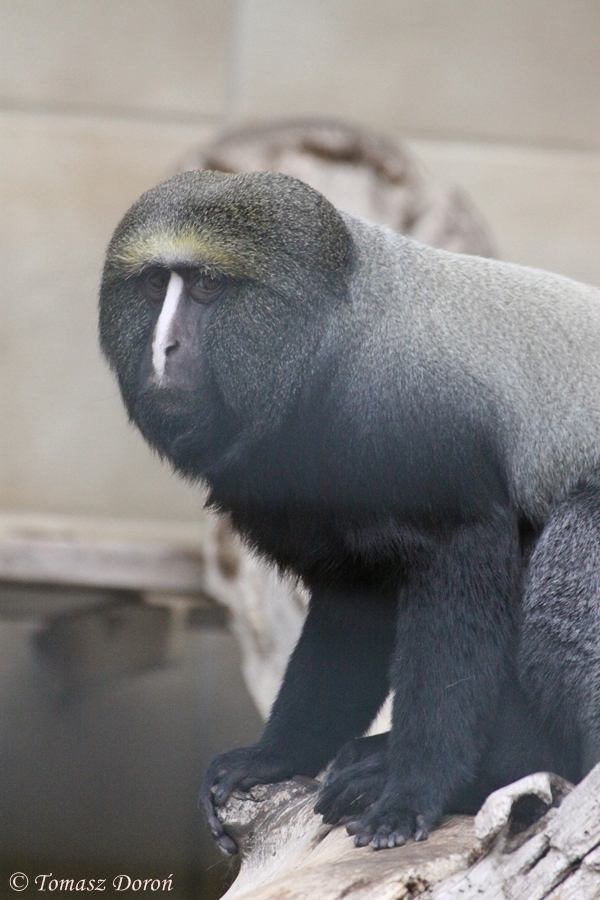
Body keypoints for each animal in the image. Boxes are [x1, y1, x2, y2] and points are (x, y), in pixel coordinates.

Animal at [99, 169, 600, 853]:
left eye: (205, 286)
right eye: (156, 285)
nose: (164, 349)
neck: (327, 341)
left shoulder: (408, 437)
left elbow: (461, 563)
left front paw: (413, 793)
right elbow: (354, 604)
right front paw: (274, 756)